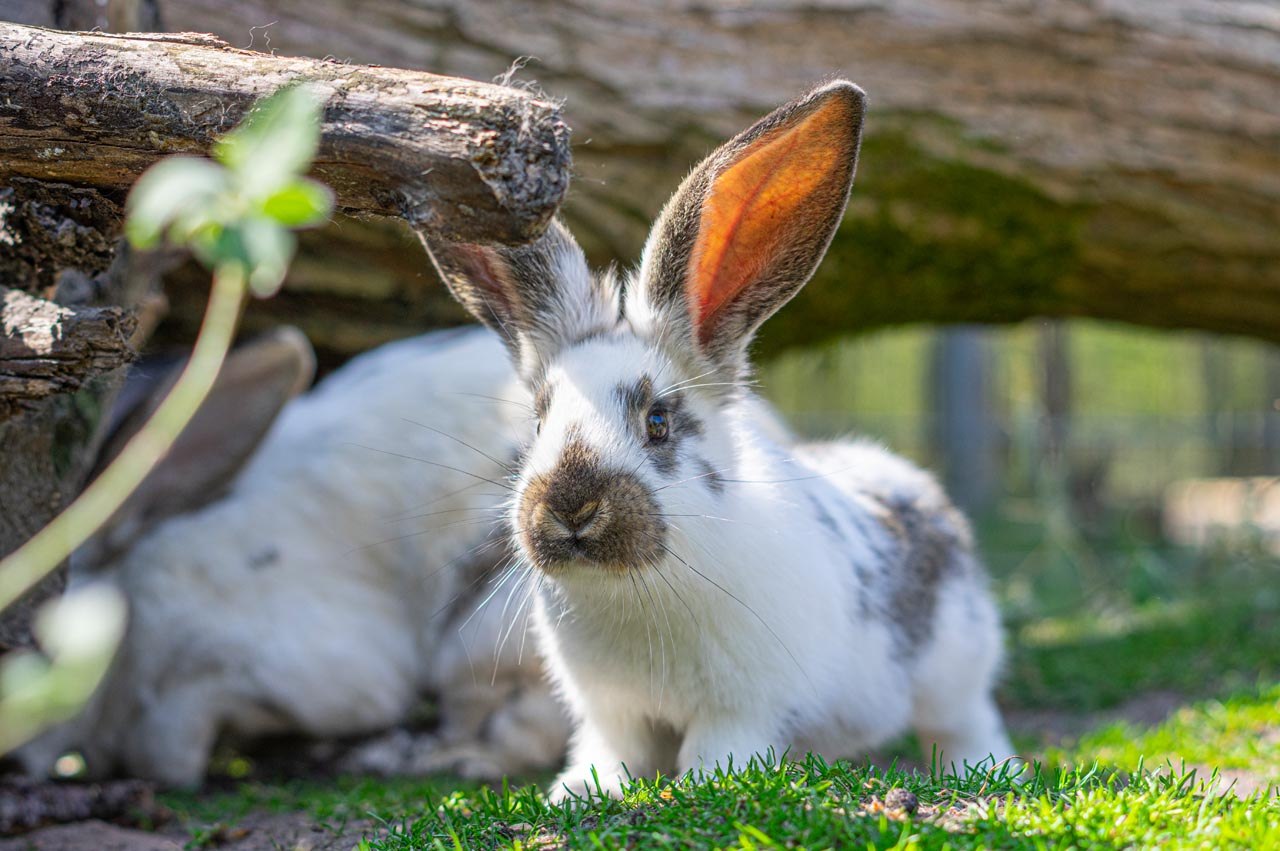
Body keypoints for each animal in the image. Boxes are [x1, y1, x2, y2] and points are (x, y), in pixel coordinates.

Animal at [424, 76, 1013, 798]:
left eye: (658, 420)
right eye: (538, 419)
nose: (570, 506)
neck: (633, 591)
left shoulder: (741, 708)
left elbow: (720, 749)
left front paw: (706, 783)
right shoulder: (613, 712)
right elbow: (611, 753)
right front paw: (583, 791)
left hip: (956, 670)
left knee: (968, 724)